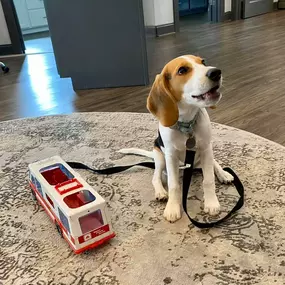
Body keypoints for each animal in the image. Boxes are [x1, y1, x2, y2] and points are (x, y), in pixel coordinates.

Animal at [118, 55, 232, 222]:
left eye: (203, 62)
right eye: (182, 70)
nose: (216, 72)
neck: (187, 124)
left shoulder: (205, 148)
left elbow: (208, 179)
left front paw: (211, 203)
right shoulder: (170, 156)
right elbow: (173, 185)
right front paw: (172, 207)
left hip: (205, 153)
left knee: (213, 163)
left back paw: (223, 173)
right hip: (160, 156)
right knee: (156, 177)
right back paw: (160, 192)